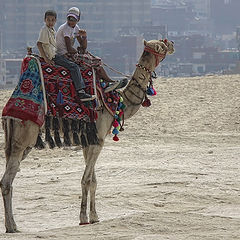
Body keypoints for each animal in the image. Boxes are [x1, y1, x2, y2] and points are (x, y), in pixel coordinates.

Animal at [0, 39, 174, 232]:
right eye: (161, 45)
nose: (172, 44)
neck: (117, 101)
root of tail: (8, 113)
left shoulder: (89, 141)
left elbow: (93, 180)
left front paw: (95, 216)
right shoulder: (99, 140)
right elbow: (87, 179)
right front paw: (83, 218)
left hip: (18, 141)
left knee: (7, 179)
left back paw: (11, 224)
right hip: (24, 136)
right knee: (6, 181)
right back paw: (12, 226)